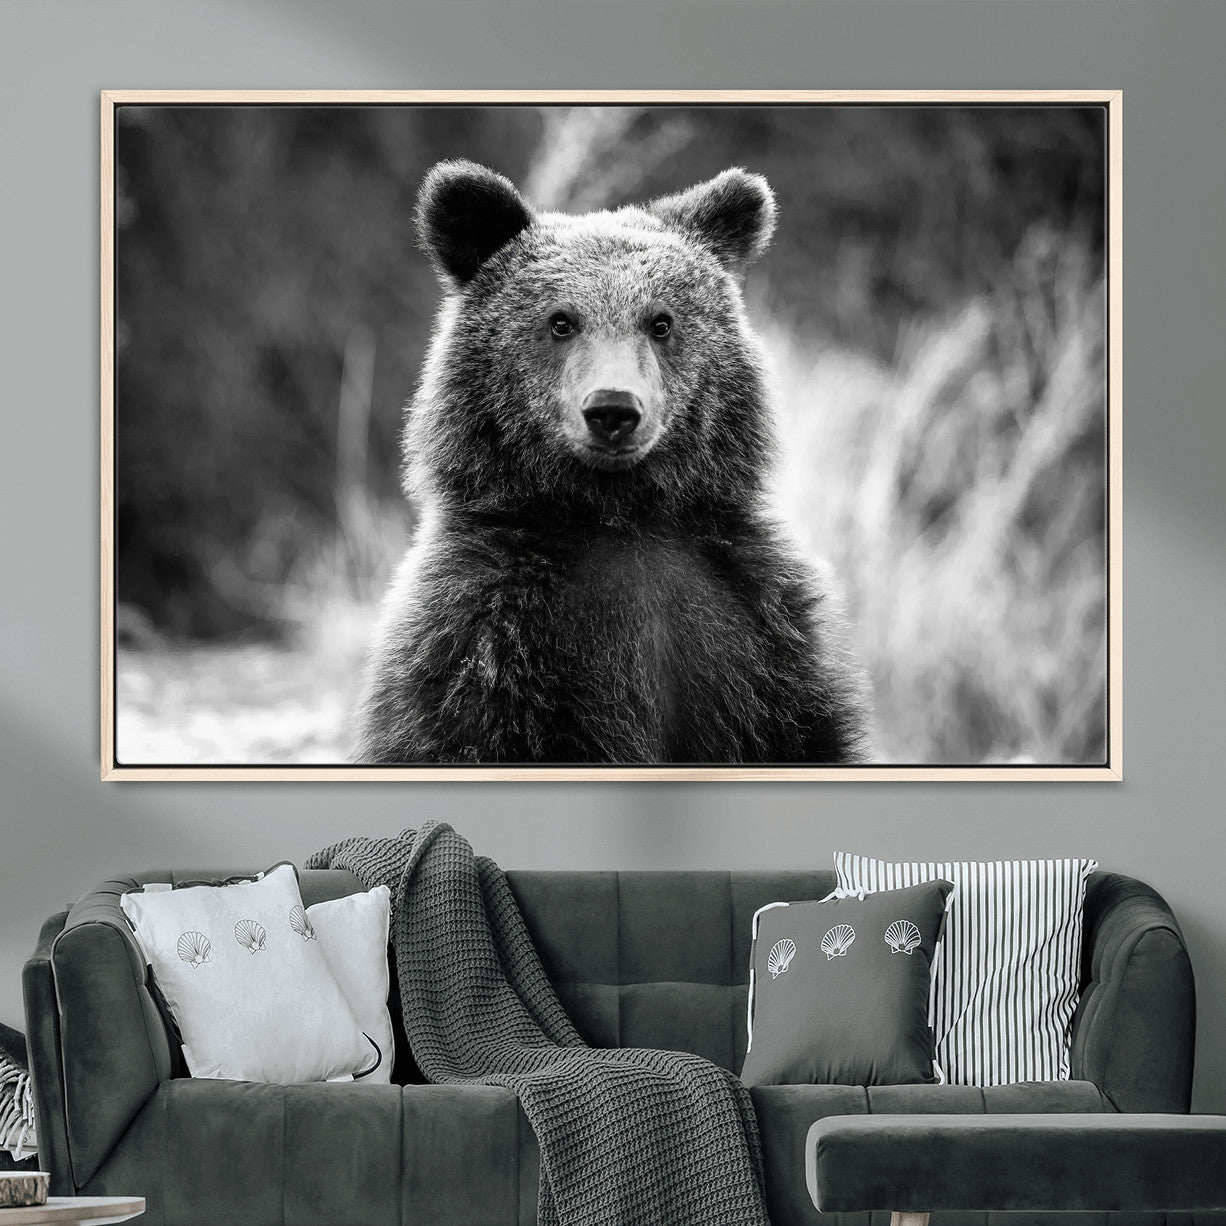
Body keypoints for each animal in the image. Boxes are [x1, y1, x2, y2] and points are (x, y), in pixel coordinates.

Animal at [355, 159, 870, 765]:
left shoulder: (761, 631)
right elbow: (453, 731)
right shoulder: (481, 639)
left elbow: (805, 730)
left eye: (661, 321)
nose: (613, 409)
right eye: (560, 321)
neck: (618, 516)